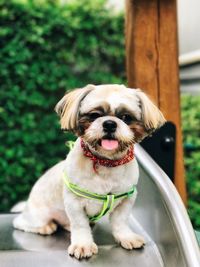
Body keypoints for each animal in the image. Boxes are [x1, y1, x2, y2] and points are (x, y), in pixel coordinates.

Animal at [12, 84, 166, 260]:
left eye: (126, 117)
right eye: (94, 115)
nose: (109, 124)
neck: (106, 163)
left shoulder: (127, 199)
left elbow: (121, 222)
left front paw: (126, 237)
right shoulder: (74, 203)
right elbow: (80, 225)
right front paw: (83, 245)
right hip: (38, 215)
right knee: (21, 223)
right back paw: (45, 227)